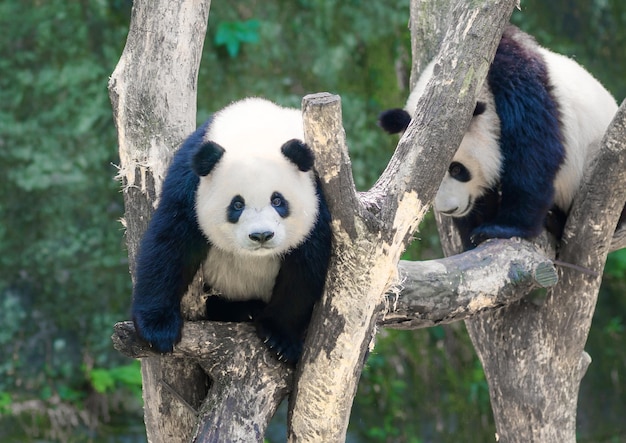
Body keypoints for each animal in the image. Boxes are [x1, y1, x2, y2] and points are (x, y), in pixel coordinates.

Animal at [130, 97, 332, 364]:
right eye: (237, 204)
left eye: (278, 200)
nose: (261, 236)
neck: (254, 131)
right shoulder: (190, 185)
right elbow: (170, 244)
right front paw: (158, 329)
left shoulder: (317, 194)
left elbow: (305, 265)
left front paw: (280, 338)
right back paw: (243, 309)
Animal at [378, 26, 616, 251]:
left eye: (457, 169)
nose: (450, 209)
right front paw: (472, 234)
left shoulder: (518, 82)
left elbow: (533, 155)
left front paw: (500, 228)